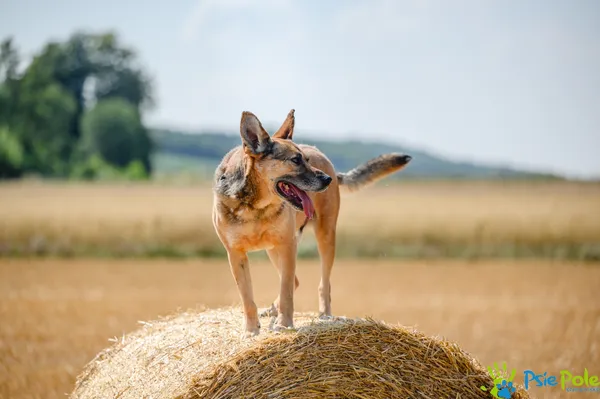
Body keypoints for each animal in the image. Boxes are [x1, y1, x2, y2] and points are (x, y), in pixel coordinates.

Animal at [212, 109, 412, 338]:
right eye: (295, 160)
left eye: (306, 160)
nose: (327, 180)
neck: (255, 206)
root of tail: (326, 160)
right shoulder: (236, 255)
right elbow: (248, 299)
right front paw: (251, 331)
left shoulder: (288, 246)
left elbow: (287, 292)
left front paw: (284, 325)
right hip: (273, 250)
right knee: (295, 281)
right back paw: (271, 311)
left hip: (324, 237)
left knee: (322, 284)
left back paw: (324, 315)